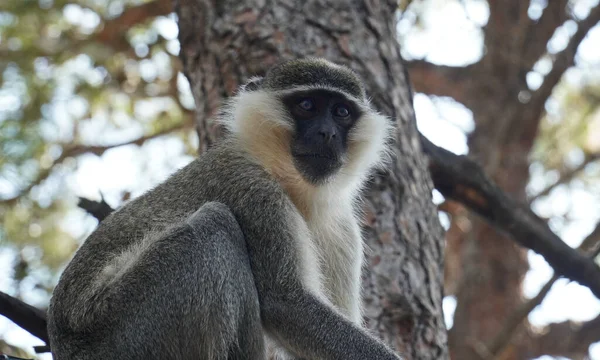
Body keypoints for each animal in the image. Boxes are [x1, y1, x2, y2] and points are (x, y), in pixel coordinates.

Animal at [47, 57, 400, 358]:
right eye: (307, 106)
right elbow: (286, 303)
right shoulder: (252, 189)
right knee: (213, 228)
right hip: (124, 333)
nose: (327, 133)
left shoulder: (342, 227)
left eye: (341, 112)